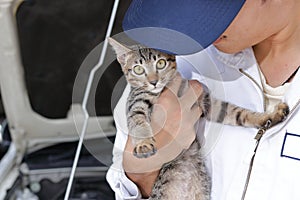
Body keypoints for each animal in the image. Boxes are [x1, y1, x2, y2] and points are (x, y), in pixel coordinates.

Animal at [109, 38, 290, 200]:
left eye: (160, 63)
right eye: (138, 69)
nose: (153, 81)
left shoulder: (208, 103)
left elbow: (238, 113)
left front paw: (270, 116)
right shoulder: (136, 104)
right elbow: (138, 123)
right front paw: (144, 144)